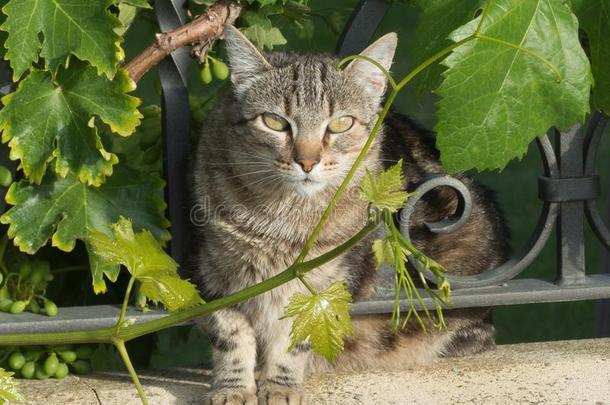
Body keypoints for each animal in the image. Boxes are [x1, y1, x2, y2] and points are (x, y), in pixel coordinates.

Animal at [185, 25, 508, 404]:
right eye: (274, 122)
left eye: (340, 124)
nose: (307, 161)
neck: (284, 217)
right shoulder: (209, 274)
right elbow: (232, 334)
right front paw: (233, 388)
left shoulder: (318, 291)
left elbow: (293, 339)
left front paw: (280, 386)